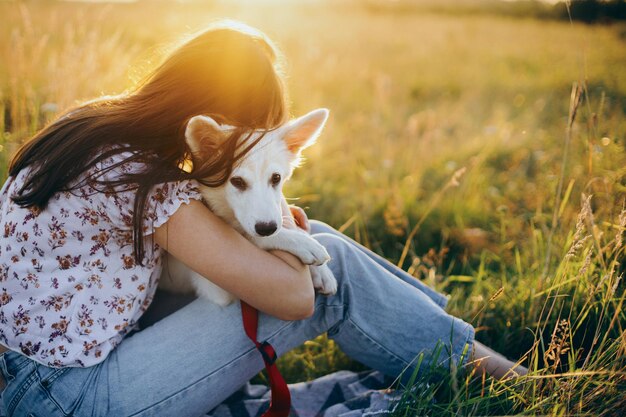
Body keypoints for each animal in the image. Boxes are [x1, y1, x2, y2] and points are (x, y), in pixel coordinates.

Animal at [158, 109, 338, 304]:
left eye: (276, 178)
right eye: (237, 182)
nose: (267, 228)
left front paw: (322, 272)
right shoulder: (217, 290)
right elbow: (251, 237)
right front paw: (302, 243)